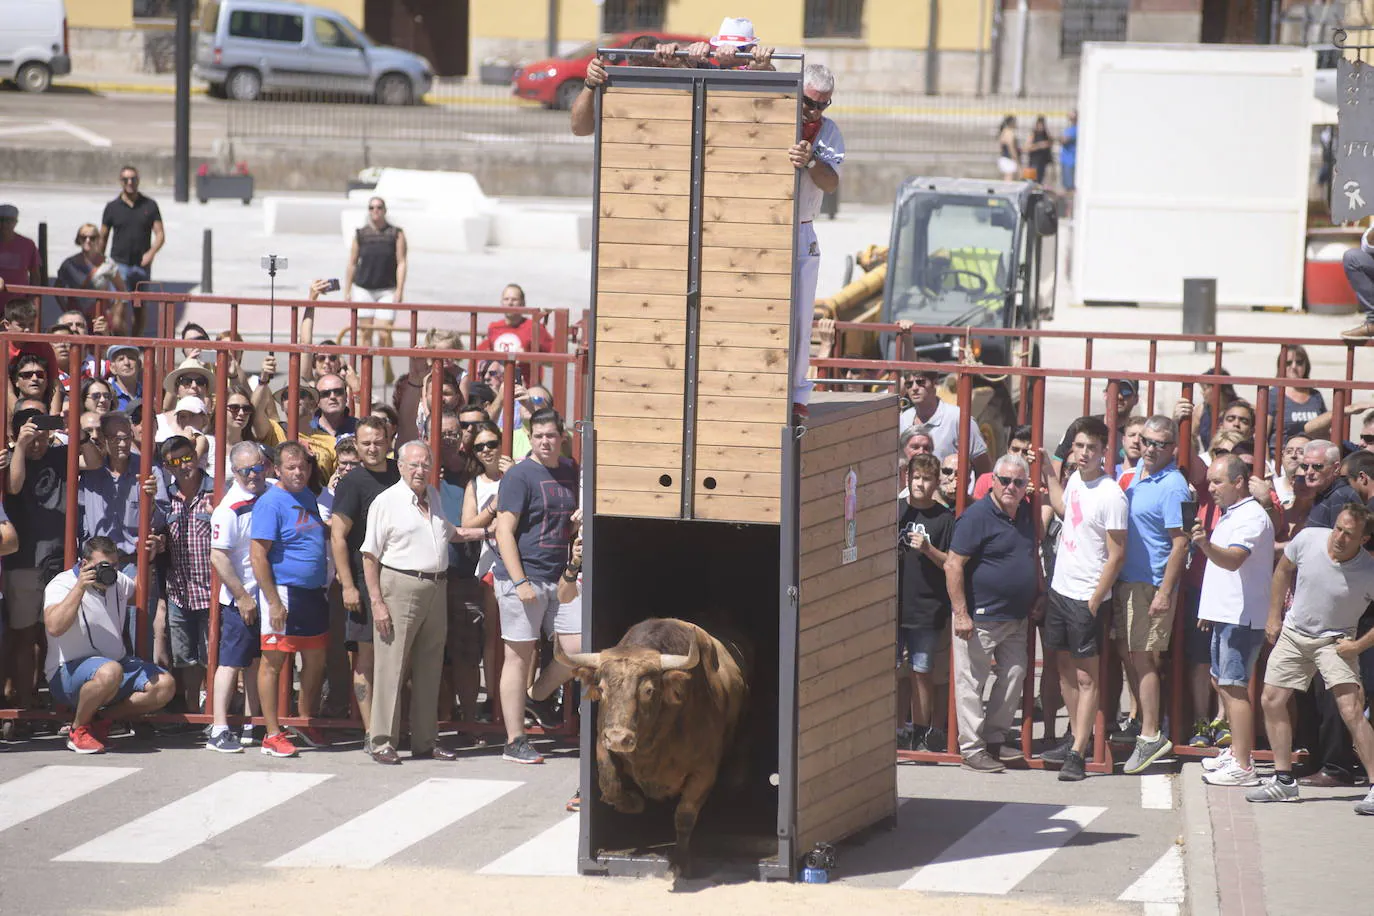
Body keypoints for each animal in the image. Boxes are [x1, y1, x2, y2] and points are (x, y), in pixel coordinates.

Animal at [557, 620, 752, 873]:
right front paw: (634, 801)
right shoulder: (603, 746)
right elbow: (611, 785)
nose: (619, 738)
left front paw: (680, 860)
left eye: (648, 690)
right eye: (601, 688)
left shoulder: (705, 770)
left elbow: (685, 815)